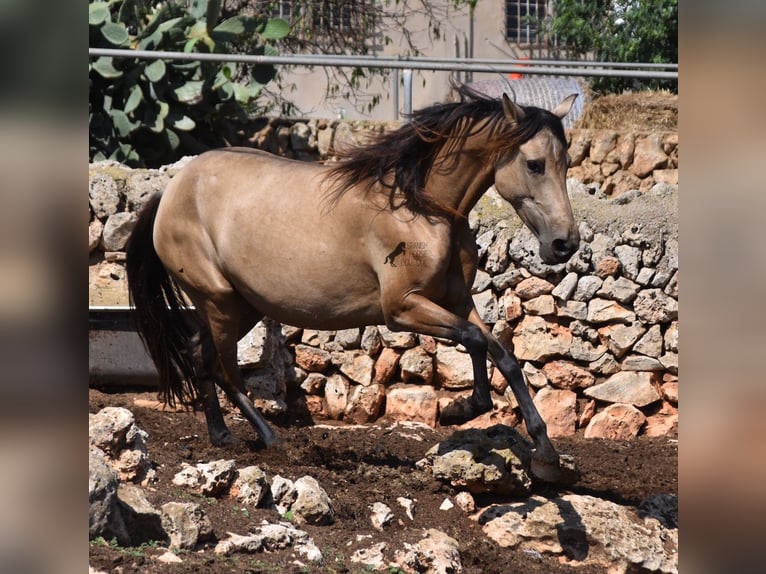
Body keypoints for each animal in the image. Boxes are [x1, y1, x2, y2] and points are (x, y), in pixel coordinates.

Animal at [127, 84, 584, 482]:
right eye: (534, 164)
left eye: (566, 164)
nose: (565, 244)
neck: (421, 206)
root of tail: (169, 193)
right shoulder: (402, 308)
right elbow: (474, 341)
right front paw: (464, 407)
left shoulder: (457, 302)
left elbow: (503, 355)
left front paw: (544, 454)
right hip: (221, 302)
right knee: (224, 369)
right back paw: (271, 438)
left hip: (240, 307)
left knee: (198, 354)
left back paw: (221, 435)